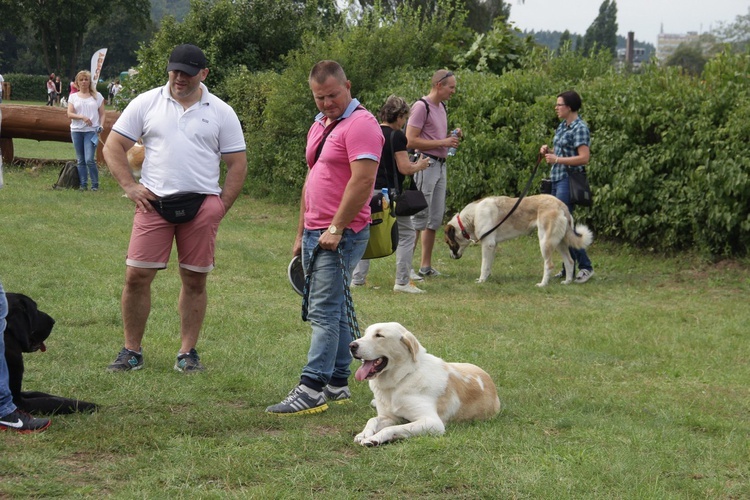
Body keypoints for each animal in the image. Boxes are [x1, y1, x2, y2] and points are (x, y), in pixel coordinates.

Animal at [352, 322, 502, 448]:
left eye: (379, 335)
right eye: (365, 334)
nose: (351, 345)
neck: (400, 381)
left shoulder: (432, 422)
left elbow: (392, 428)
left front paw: (375, 438)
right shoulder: (390, 417)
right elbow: (372, 420)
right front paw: (363, 434)